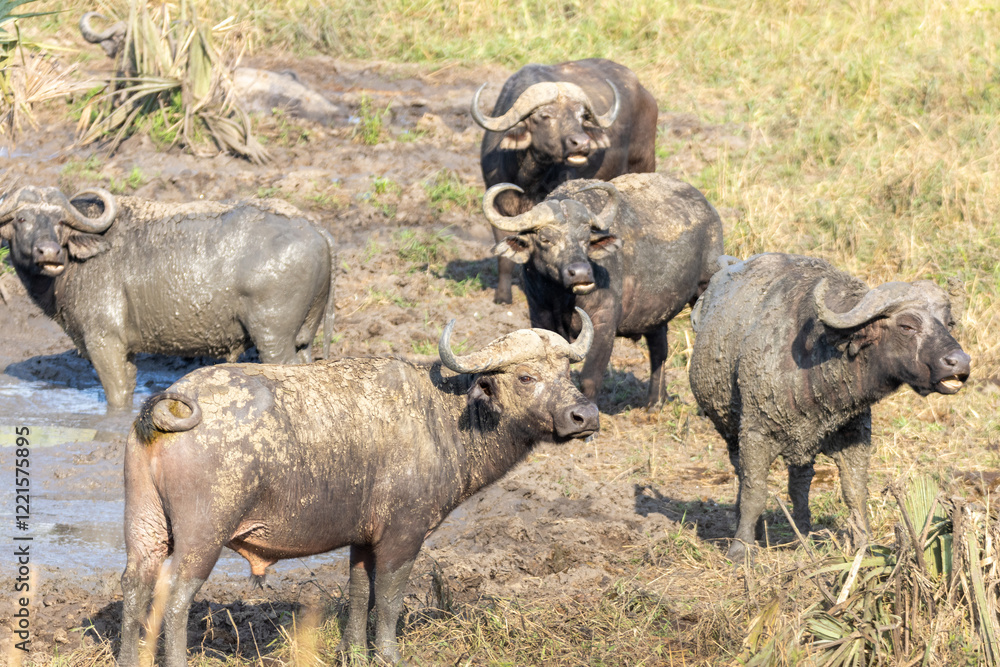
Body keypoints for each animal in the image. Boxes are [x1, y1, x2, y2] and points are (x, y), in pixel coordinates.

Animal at [0, 186, 335, 410]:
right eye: (21, 219)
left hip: (273, 338)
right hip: (303, 336)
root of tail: (313, 227)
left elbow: (116, 393)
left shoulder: (104, 342)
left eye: (59, 221)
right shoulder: (126, 350)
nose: (49, 252)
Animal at [119, 310, 600, 666]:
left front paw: (354, 653)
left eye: (567, 371)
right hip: (203, 536)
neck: (441, 417)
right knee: (175, 595)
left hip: (145, 527)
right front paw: (389, 655)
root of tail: (165, 406)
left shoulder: (362, 539)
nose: (585, 416)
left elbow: (356, 592)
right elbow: (387, 598)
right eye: (525, 377)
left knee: (135, 584)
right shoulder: (403, 535)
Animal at [473, 58, 658, 303]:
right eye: (545, 116)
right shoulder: (500, 209)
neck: (528, 179)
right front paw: (502, 297)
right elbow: (505, 256)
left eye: (581, 116)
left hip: (644, 163)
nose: (581, 143)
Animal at [485, 173, 723, 408]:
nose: (581, 273)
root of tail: (709, 210)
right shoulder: (540, 316)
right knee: (659, 346)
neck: (562, 298)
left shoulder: (603, 324)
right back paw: (655, 401)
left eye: (585, 239)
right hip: (654, 311)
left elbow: (590, 377)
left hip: (704, 287)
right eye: (545, 239)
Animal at [689, 253, 972, 563]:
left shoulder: (855, 436)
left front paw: (864, 544)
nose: (960, 361)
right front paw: (741, 549)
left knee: (799, 484)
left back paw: (802, 535)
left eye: (948, 323)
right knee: (743, 474)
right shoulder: (755, 432)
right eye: (907, 326)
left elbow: (855, 492)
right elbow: (755, 491)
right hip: (729, 431)